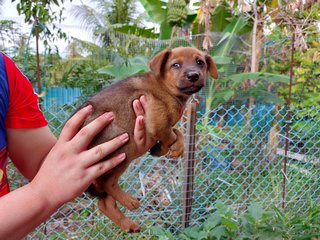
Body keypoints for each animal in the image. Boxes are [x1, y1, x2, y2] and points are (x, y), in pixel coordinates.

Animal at [78, 46, 218, 232]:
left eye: (200, 62)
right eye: (175, 65)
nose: (193, 75)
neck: (166, 88)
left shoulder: (163, 122)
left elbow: (177, 131)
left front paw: (176, 148)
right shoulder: (156, 119)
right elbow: (171, 133)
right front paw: (163, 148)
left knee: (104, 202)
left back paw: (128, 224)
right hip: (125, 145)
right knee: (107, 184)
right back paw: (129, 201)